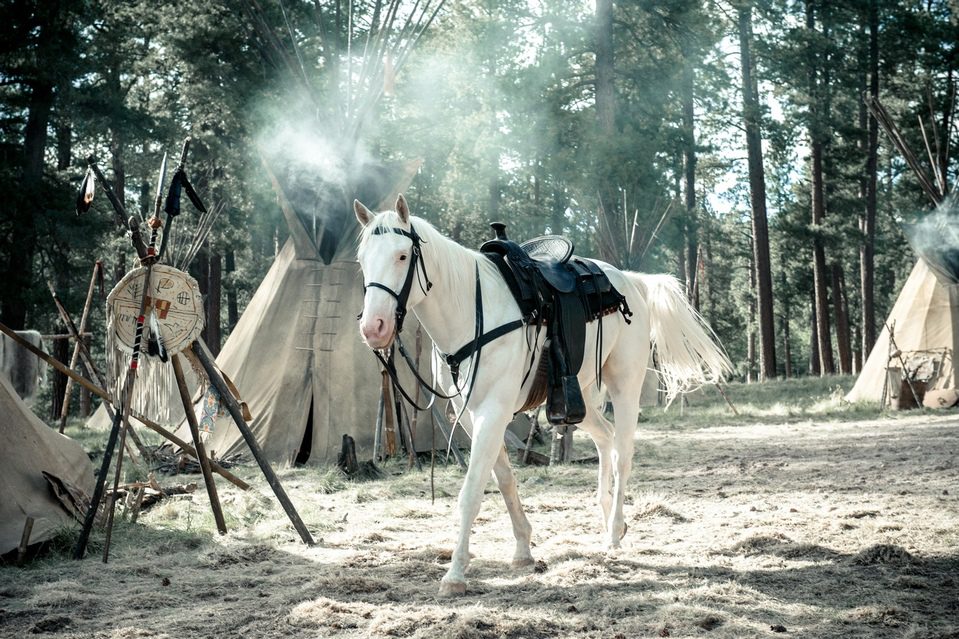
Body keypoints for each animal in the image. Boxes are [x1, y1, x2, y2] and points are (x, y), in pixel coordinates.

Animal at [356, 194, 732, 596]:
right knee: (606, 440)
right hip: (579, 395)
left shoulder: (493, 411)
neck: (471, 310)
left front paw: (455, 573)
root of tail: (632, 281)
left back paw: (614, 533)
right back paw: (606, 517)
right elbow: (504, 479)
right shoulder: (471, 414)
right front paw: (523, 550)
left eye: (402, 256)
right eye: (362, 260)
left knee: (623, 454)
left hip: (624, 386)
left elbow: (472, 491)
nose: (374, 328)